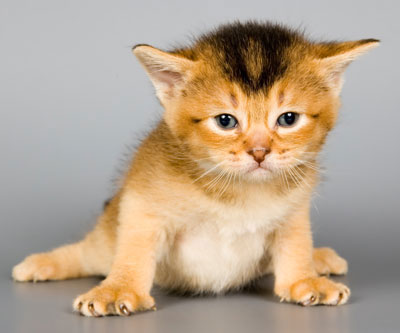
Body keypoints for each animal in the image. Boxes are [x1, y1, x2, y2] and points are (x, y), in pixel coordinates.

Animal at [12, 21, 378, 316]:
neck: (235, 193)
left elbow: (296, 245)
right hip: (105, 237)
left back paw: (320, 258)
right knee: (89, 252)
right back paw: (41, 264)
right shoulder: (142, 202)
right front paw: (118, 290)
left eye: (288, 119)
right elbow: (133, 249)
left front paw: (305, 278)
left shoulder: (293, 212)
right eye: (225, 121)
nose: (259, 152)